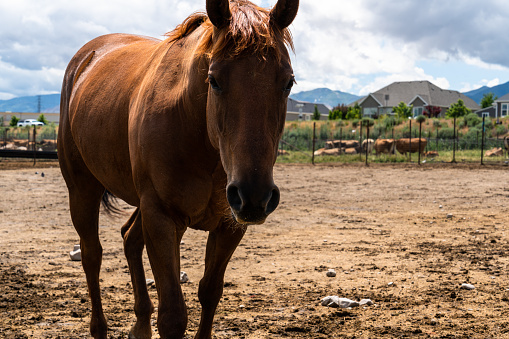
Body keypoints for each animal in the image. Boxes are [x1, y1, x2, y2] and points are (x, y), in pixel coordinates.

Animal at [58, 0, 298, 339]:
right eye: (214, 80)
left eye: (288, 81)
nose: (254, 196)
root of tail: (86, 59)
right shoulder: (161, 216)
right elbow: (172, 315)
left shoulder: (230, 225)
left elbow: (210, 292)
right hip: (83, 189)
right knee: (92, 254)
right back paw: (100, 328)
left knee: (130, 238)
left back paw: (140, 326)